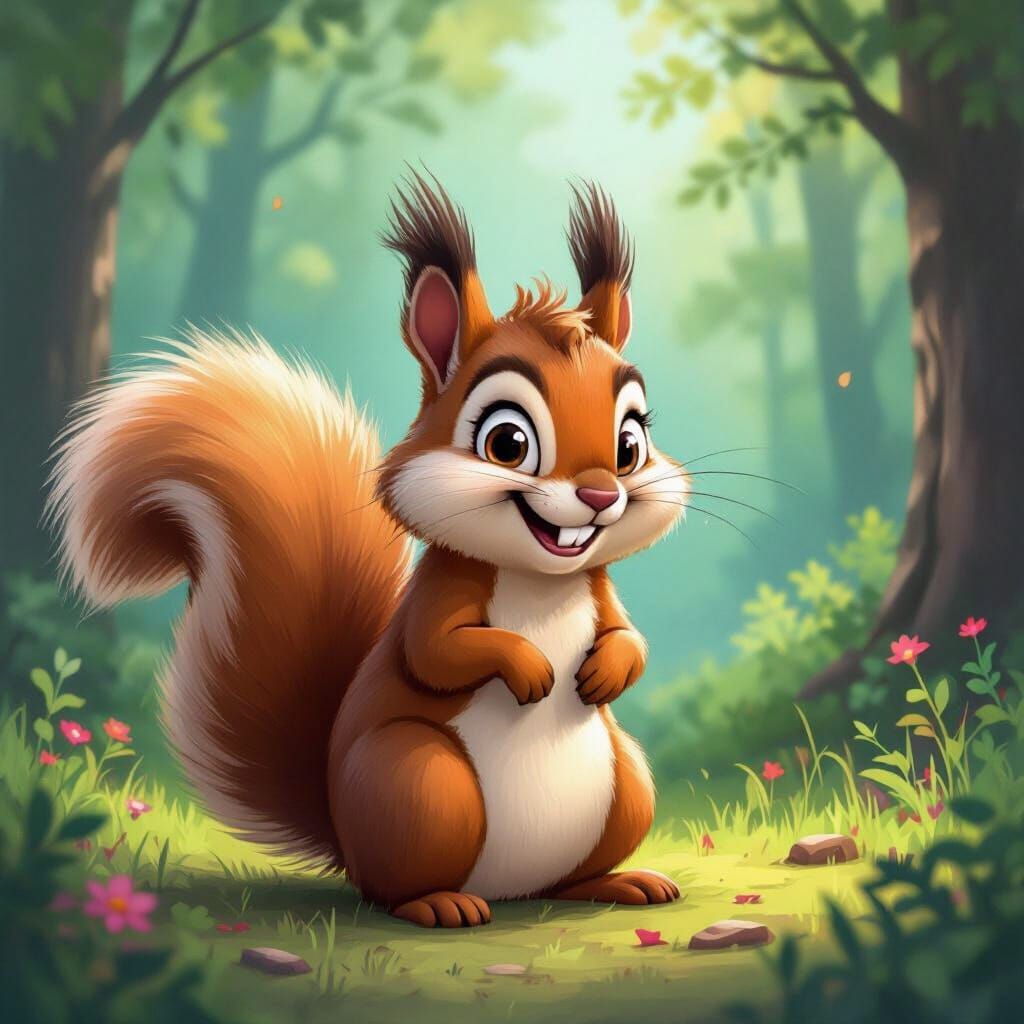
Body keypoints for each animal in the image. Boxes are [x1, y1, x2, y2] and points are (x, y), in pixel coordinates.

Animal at [48, 174, 690, 928]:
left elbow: (628, 634)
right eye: (507, 442)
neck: (542, 578)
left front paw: (609, 668)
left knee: (572, 873)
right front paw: (529, 667)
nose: (597, 495)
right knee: (394, 887)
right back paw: (440, 903)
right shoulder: (441, 596)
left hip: (626, 781)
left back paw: (618, 882)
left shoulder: (599, 588)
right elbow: (438, 653)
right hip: (418, 780)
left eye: (631, 443)